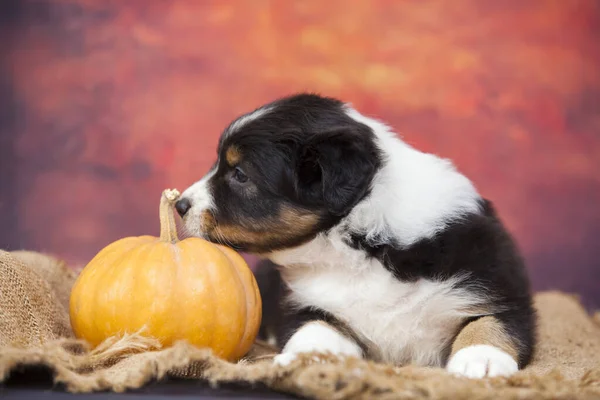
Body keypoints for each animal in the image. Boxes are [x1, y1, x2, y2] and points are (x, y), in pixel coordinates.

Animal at [176, 94, 536, 378]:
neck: (359, 246)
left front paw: (481, 362)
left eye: (239, 174)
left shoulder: (498, 288)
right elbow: (314, 331)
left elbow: (488, 323)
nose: (179, 204)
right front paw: (307, 360)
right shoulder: (306, 306)